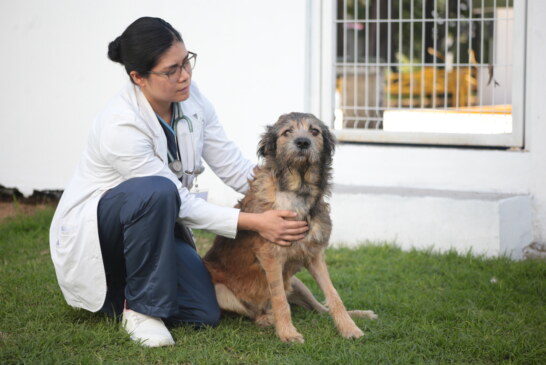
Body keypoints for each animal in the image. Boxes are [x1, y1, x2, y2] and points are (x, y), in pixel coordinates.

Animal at [202, 111, 376, 342]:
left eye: (314, 131)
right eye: (287, 132)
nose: (302, 142)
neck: (298, 190)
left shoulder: (314, 255)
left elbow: (333, 295)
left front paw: (349, 328)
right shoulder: (271, 257)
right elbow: (279, 299)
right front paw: (287, 333)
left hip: (297, 283)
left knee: (321, 309)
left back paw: (359, 314)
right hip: (220, 290)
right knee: (255, 311)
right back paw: (266, 319)